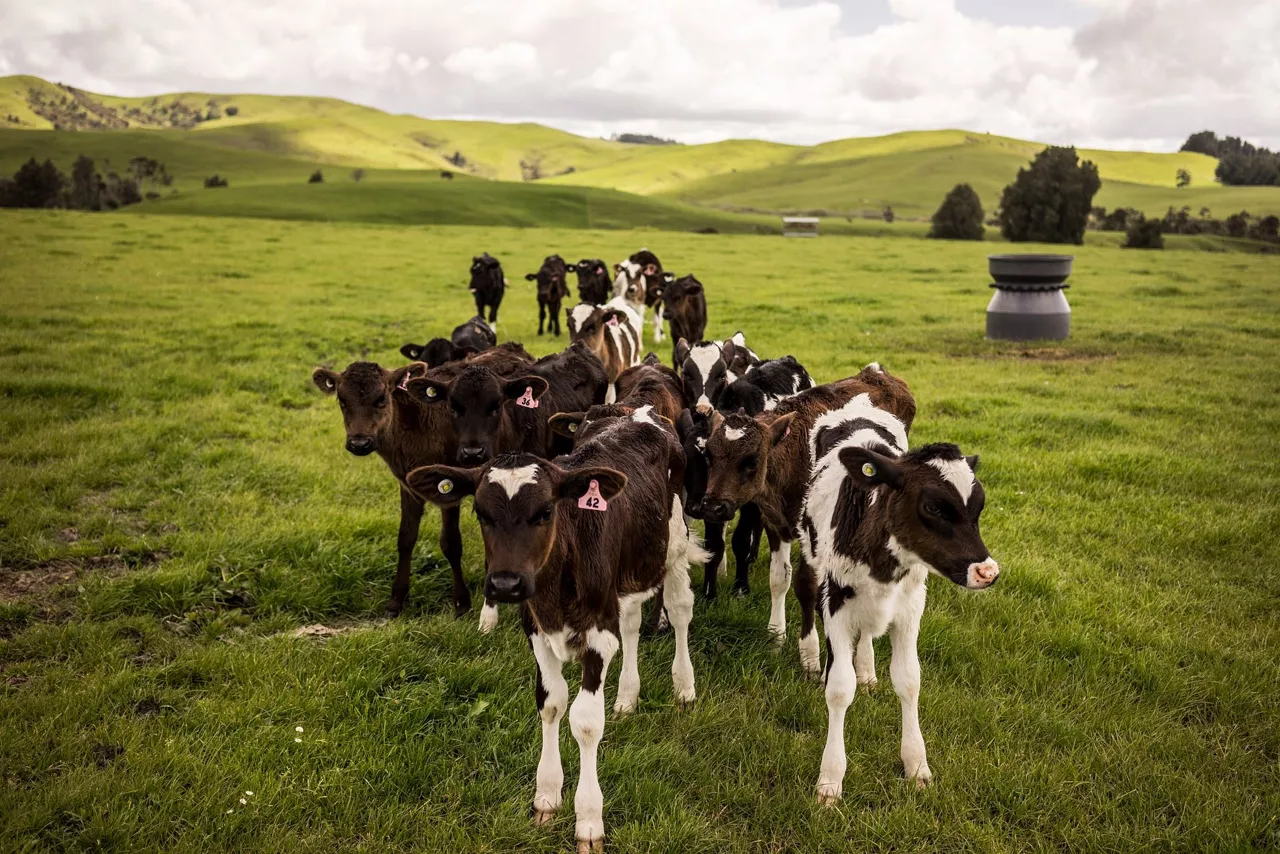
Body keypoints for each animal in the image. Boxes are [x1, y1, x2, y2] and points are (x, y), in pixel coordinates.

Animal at [310, 342, 533, 624]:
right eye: (342, 400)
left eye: (381, 399)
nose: (359, 443)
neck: (415, 425)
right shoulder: (407, 485)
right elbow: (405, 538)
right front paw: (396, 600)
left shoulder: (449, 484)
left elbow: (451, 543)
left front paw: (461, 603)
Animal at [406, 412, 705, 853]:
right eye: (480, 512)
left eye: (546, 511)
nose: (506, 584)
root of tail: (639, 412)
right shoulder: (535, 629)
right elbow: (550, 703)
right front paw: (546, 797)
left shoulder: (597, 634)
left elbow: (585, 720)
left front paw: (589, 821)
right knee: (632, 622)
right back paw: (627, 697)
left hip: (674, 540)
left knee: (681, 608)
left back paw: (684, 687)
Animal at [699, 365, 915, 673]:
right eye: (708, 455)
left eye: (751, 460)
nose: (713, 506)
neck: (791, 460)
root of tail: (876, 372)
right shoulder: (774, 521)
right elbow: (779, 578)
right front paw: (776, 635)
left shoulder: (810, 534)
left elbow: (806, 585)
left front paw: (810, 654)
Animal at [802, 395, 997, 804]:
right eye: (933, 507)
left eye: (979, 507)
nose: (987, 571)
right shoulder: (836, 601)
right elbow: (839, 689)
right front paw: (830, 780)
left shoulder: (909, 608)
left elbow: (909, 680)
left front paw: (916, 765)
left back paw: (867, 671)